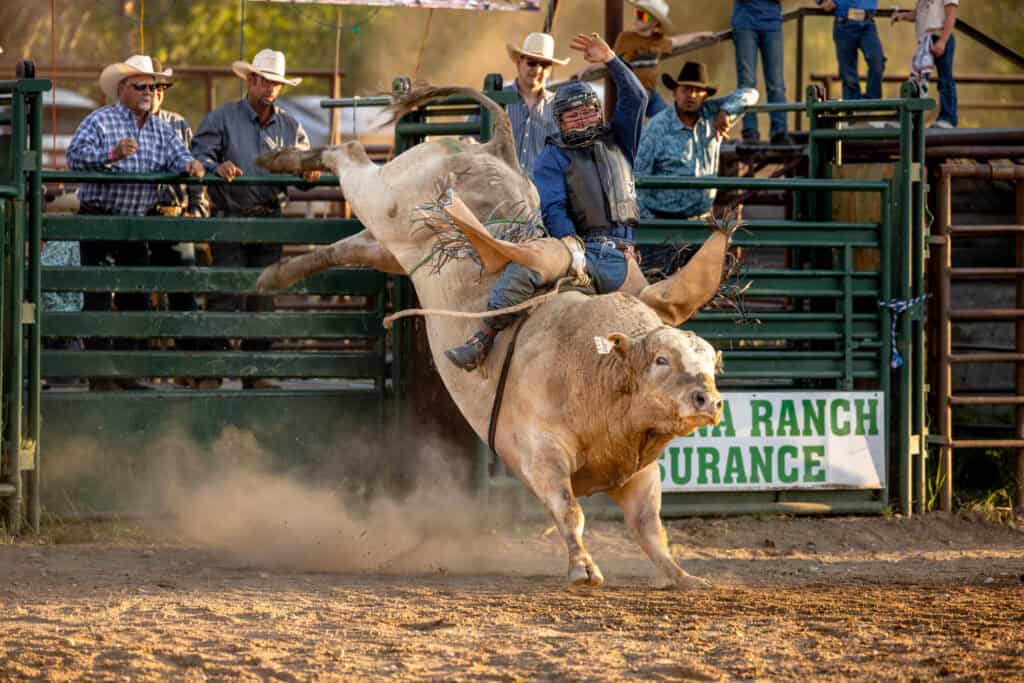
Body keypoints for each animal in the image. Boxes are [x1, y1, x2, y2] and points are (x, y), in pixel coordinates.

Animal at [257, 86, 730, 589]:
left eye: (710, 363)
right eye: (661, 360)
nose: (708, 400)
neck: (601, 369)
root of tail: (495, 147)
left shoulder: (638, 471)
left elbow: (648, 528)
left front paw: (682, 575)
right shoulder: (539, 453)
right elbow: (571, 510)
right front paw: (582, 567)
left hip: (392, 244)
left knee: (347, 246)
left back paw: (276, 271)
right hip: (388, 195)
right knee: (348, 155)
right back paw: (281, 160)